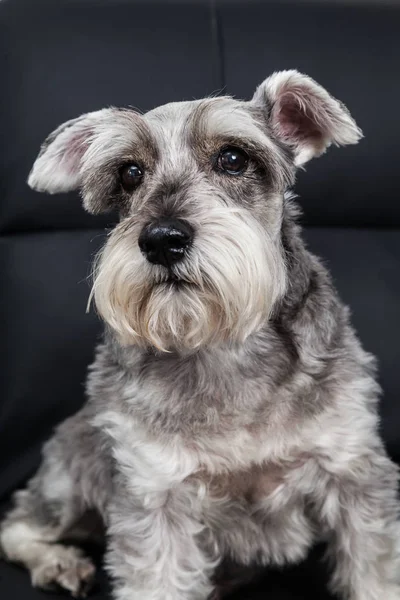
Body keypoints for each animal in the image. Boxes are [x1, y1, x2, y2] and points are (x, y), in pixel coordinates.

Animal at [0, 70, 400, 600]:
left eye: (233, 158)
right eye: (129, 173)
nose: (161, 239)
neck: (225, 346)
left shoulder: (351, 469)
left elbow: (375, 568)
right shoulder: (155, 493)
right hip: (71, 473)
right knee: (20, 524)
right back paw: (59, 562)